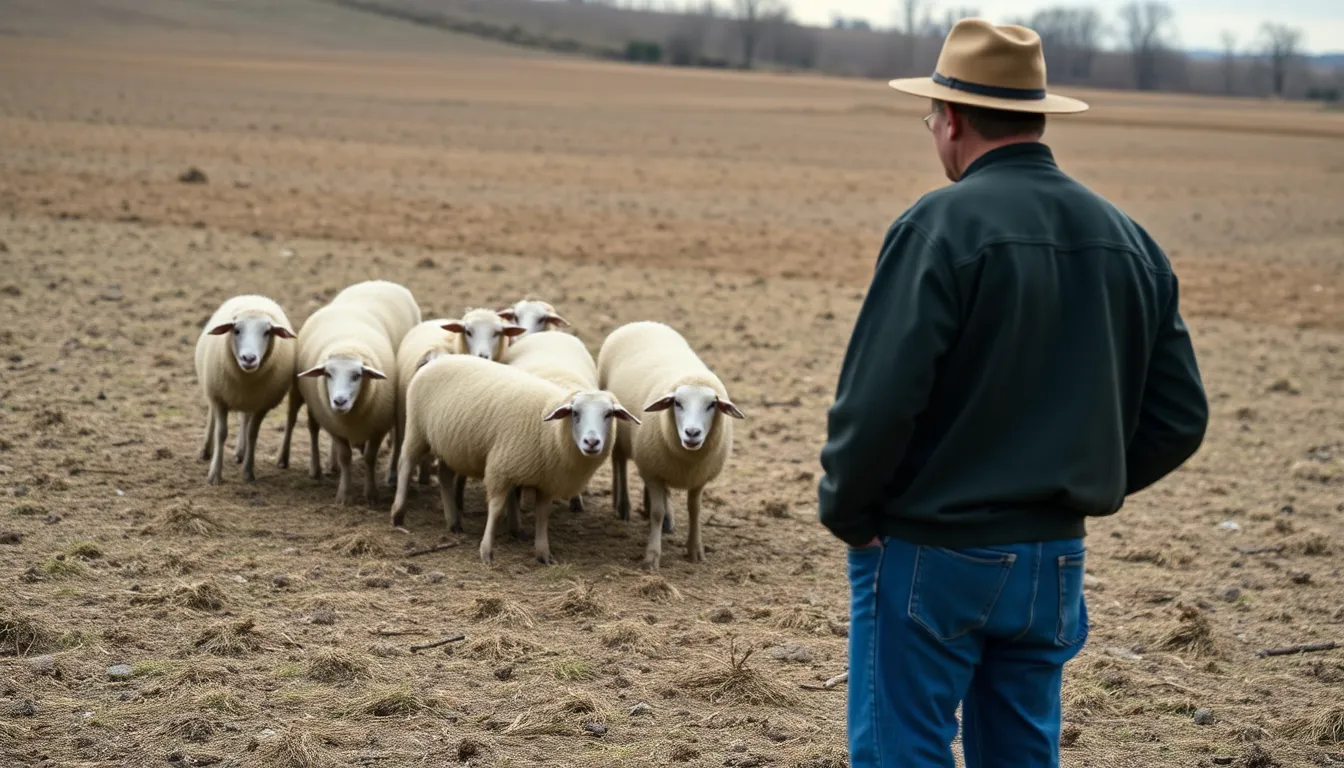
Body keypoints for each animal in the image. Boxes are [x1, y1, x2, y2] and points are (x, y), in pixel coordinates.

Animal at [193, 294, 297, 485]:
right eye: (236, 330)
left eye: (267, 332)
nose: (249, 358)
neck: (245, 379)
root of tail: (254, 296)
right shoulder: (219, 399)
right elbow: (221, 433)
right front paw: (214, 475)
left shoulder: (261, 405)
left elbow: (252, 434)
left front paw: (248, 472)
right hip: (213, 390)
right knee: (212, 417)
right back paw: (205, 451)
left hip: (248, 400)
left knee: (244, 419)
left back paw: (240, 453)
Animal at [390, 354, 639, 566]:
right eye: (575, 413)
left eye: (608, 414)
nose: (591, 442)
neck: (549, 431)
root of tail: (438, 359)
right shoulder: (501, 468)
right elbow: (496, 509)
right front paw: (487, 552)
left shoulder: (546, 481)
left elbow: (542, 515)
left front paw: (543, 554)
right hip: (416, 429)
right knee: (406, 464)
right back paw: (398, 514)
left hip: (451, 446)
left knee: (444, 476)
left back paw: (454, 522)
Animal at [596, 321, 745, 571]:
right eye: (677, 403)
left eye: (711, 405)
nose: (692, 433)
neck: (687, 460)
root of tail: (641, 323)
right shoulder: (652, 470)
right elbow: (657, 512)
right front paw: (652, 556)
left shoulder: (697, 477)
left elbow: (694, 510)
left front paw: (695, 550)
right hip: (621, 433)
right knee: (620, 463)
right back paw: (623, 504)